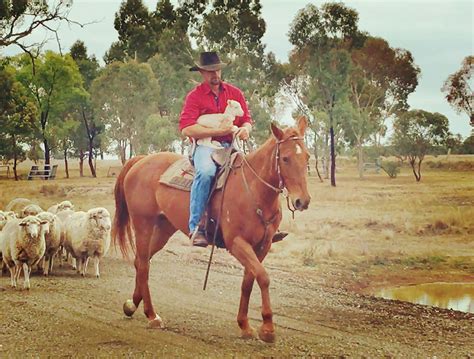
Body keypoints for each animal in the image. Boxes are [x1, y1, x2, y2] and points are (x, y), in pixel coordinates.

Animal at [111, 118, 312, 344]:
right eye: (285, 158)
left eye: (307, 156)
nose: (302, 201)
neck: (253, 190)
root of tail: (141, 160)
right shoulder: (237, 243)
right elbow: (263, 277)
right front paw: (268, 328)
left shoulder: (262, 246)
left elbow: (248, 281)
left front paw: (245, 325)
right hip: (143, 224)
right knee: (144, 265)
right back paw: (152, 315)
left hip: (164, 228)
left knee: (140, 261)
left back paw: (132, 305)